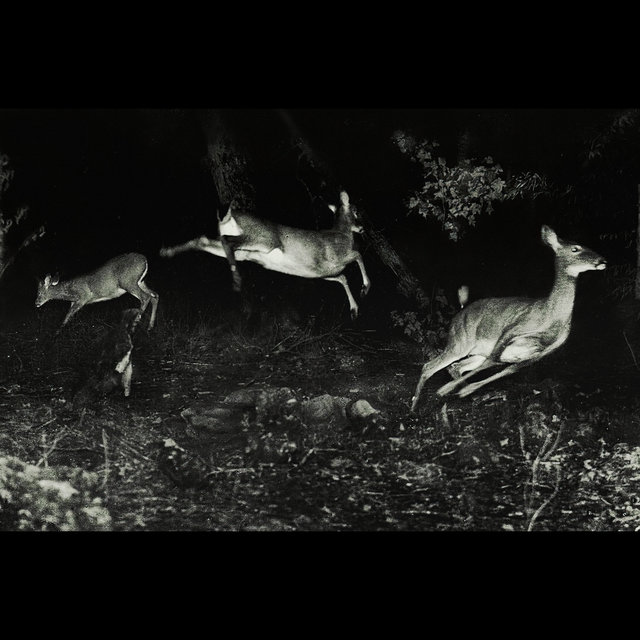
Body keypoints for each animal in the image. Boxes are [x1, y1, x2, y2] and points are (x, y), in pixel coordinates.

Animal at [160, 190, 370, 320]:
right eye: (356, 211)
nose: (362, 228)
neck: (342, 235)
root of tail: (229, 215)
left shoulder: (321, 272)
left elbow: (343, 278)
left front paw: (354, 310)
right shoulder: (333, 259)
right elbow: (358, 255)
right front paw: (365, 288)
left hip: (245, 251)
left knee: (204, 239)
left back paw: (167, 251)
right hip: (264, 239)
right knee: (227, 240)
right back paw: (236, 279)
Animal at [410, 225, 604, 412]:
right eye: (575, 248)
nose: (602, 261)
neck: (551, 317)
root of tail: (460, 312)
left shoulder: (542, 353)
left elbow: (506, 370)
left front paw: (466, 390)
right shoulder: (513, 328)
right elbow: (493, 360)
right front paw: (447, 389)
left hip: (475, 350)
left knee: (457, 367)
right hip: (460, 341)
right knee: (429, 366)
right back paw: (414, 407)